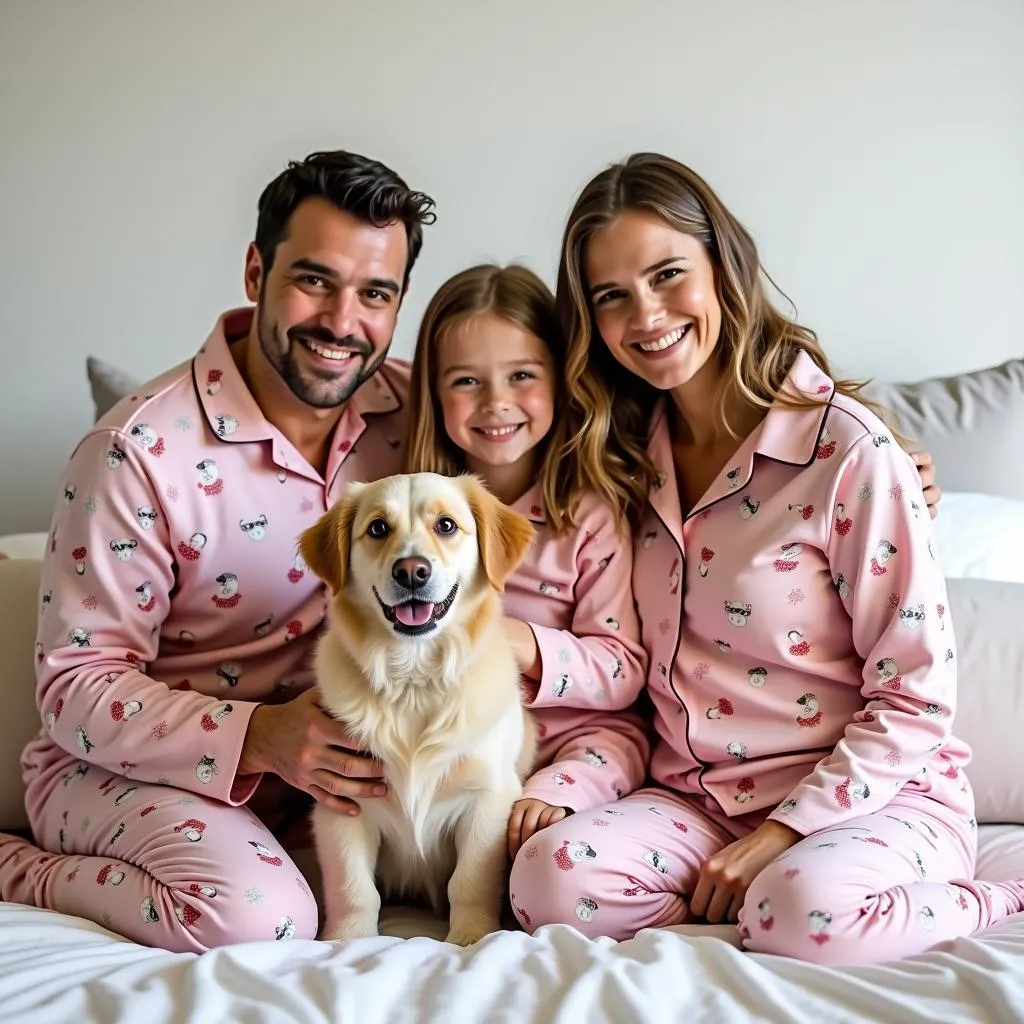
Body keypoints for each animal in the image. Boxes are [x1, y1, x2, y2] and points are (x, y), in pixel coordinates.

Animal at [299, 468, 540, 942]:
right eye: (378, 528)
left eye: (446, 525)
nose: (412, 571)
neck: (413, 681)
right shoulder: (340, 802)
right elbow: (353, 888)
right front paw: (346, 941)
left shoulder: (488, 798)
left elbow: (470, 880)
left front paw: (471, 939)